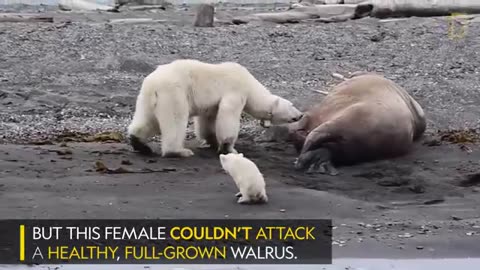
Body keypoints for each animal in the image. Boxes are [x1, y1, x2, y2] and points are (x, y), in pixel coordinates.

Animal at [125, 59, 302, 156]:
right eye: (292, 105)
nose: (300, 115)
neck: (250, 84)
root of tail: (153, 83)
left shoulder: (211, 104)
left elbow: (208, 119)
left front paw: (213, 141)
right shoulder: (236, 90)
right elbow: (228, 115)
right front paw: (229, 148)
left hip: (147, 98)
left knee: (147, 120)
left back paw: (139, 143)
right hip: (174, 93)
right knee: (176, 119)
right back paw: (179, 151)